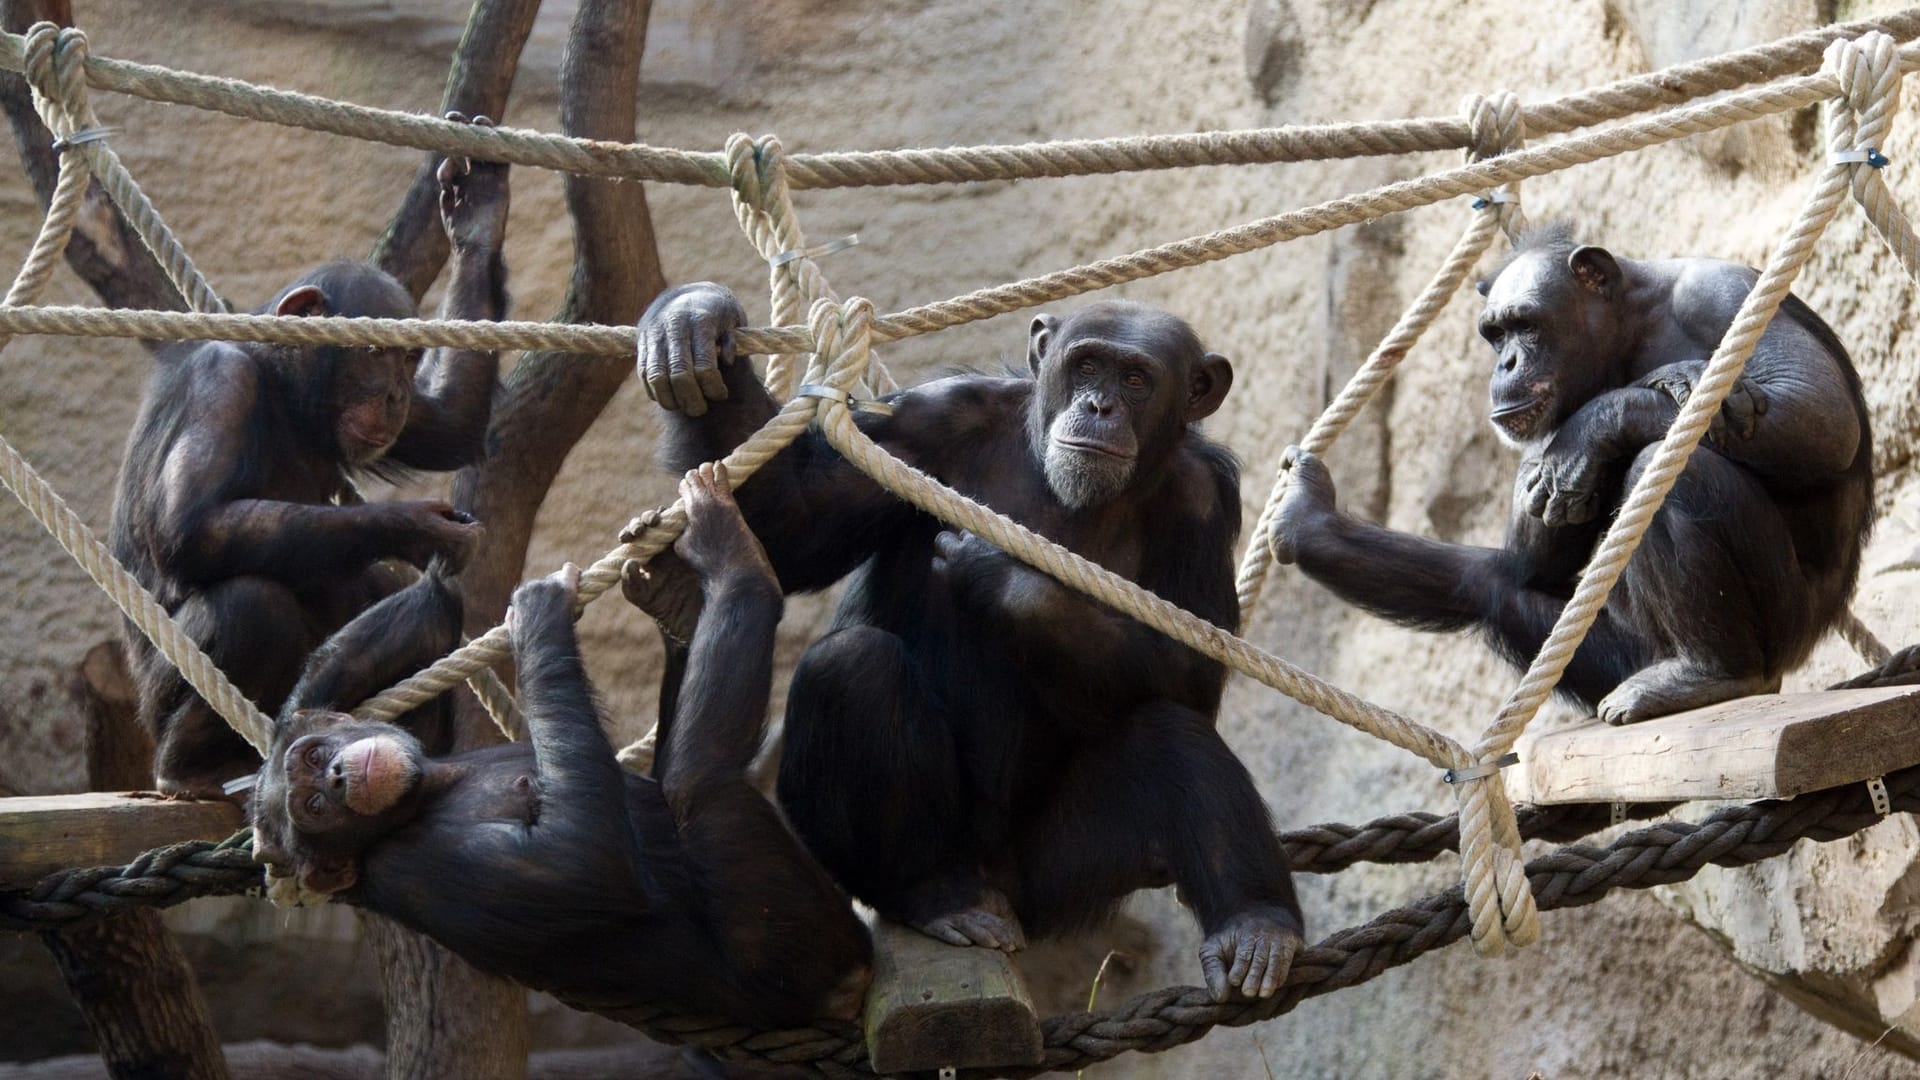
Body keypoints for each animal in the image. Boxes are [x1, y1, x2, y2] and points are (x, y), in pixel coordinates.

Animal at [107, 115, 510, 791]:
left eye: (408, 356)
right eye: (373, 351)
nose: (396, 392)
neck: (283, 386)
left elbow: (450, 423)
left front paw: (478, 213)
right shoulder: (221, 384)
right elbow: (193, 526)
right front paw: (419, 527)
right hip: (160, 703)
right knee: (251, 602)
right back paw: (193, 765)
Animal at [247, 463, 871, 1022]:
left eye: (314, 760)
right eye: (313, 807)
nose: (335, 778)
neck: (433, 788)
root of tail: (851, 987)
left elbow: (412, 626)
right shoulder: (418, 870)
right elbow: (582, 862)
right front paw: (537, 612)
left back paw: (676, 596)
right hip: (788, 940)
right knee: (697, 781)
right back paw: (732, 553)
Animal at [645, 282, 1305, 999]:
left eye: (1135, 379)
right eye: (1087, 366)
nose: (1098, 406)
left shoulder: (1202, 498)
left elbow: (1195, 672)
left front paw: (1002, 574)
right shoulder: (930, 420)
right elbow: (792, 524)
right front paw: (693, 321)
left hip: (1053, 879)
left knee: (1172, 736)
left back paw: (1255, 925)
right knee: (854, 667)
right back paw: (935, 894)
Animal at [1274, 222, 1873, 718]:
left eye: (1525, 324)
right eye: (1494, 333)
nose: (1505, 364)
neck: (1631, 327)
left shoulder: (1721, 292)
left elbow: (1817, 412)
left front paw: (1602, 422)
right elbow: (1532, 561)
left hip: (1783, 624)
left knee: (1671, 469)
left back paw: (1712, 672)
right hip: (1630, 652)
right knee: (1494, 584)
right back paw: (1310, 523)